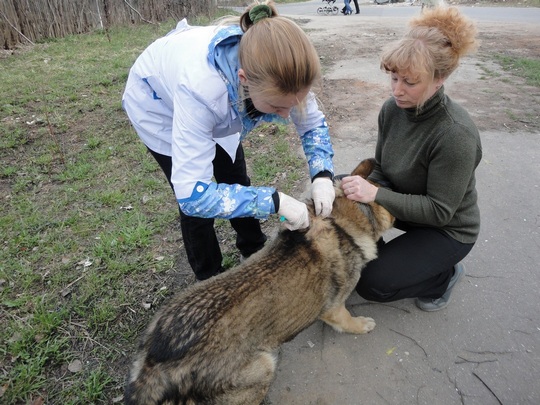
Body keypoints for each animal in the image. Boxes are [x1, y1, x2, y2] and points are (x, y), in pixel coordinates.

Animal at [124, 158, 394, 404]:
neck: (340, 222)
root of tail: (155, 367)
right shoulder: (335, 309)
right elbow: (346, 319)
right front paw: (361, 325)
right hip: (264, 366)